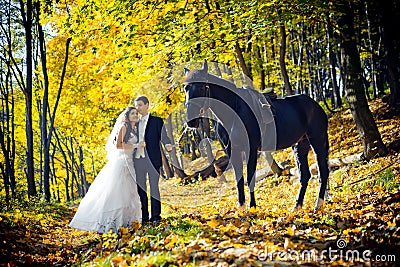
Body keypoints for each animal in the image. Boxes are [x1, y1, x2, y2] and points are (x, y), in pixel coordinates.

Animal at [183, 62, 330, 211]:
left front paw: (252, 207)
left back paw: (318, 204)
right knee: (305, 175)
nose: (191, 121)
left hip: (318, 141)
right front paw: (241, 208)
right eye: (185, 88)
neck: (234, 111)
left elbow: (250, 179)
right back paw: (297, 206)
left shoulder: (251, 149)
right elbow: (239, 179)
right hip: (299, 145)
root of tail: (315, 105)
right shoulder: (232, 151)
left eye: (202, 86)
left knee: (323, 171)